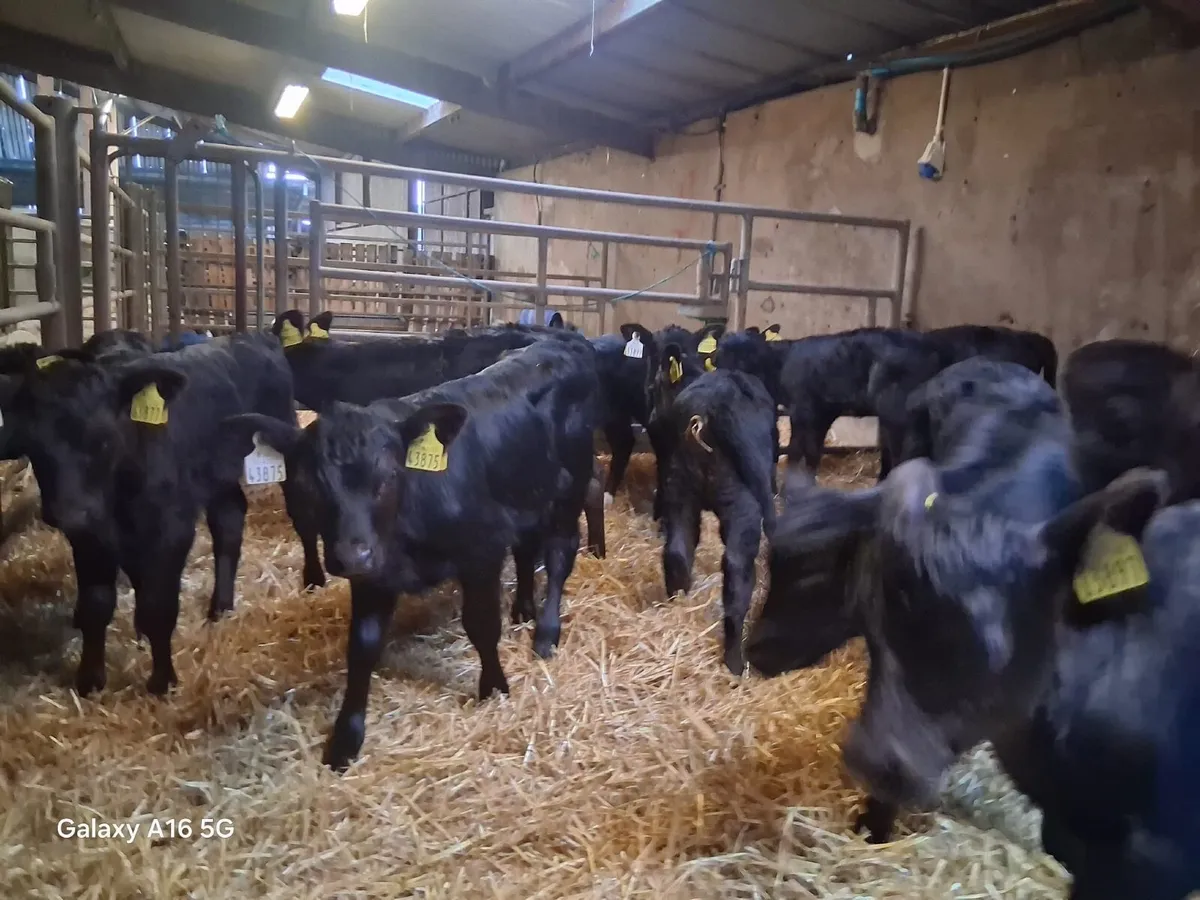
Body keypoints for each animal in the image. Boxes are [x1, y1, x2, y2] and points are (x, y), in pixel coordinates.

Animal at [0, 332, 300, 696]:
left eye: (104, 438)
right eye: (35, 445)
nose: (68, 512)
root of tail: (255, 336)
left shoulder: (171, 530)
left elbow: (159, 606)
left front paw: (162, 682)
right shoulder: (91, 537)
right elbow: (96, 604)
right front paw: (90, 680)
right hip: (216, 476)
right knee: (229, 520)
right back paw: (220, 607)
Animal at [218, 335, 602, 770]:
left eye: (388, 477)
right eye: (308, 485)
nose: (350, 556)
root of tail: (562, 340)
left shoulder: (481, 552)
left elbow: (482, 625)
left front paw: (494, 687)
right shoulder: (375, 570)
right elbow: (362, 645)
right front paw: (346, 739)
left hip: (568, 489)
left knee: (558, 556)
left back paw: (546, 633)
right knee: (526, 550)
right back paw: (524, 609)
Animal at [652, 343, 777, 674]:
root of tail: (704, 416)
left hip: (680, 490)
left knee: (677, 551)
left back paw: (678, 606)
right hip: (742, 504)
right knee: (736, 568)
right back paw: (735, 661)